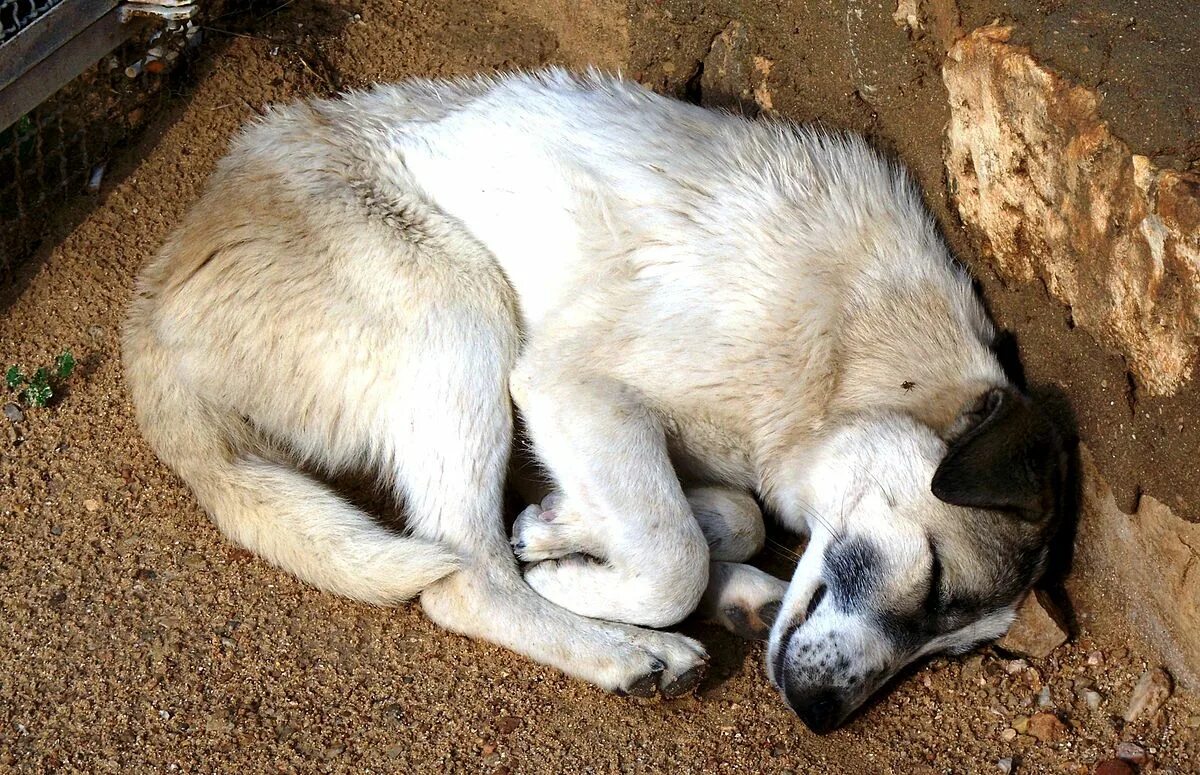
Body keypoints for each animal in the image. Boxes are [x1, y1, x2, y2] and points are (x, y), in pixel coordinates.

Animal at [124, 69, 1070, 734]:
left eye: (952, 649)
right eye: (937, 579)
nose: (821, 718)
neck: (856, 355)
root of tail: (154, 299)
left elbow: (723, 518)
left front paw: (563, 529)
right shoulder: (568, 384)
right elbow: (671, 555)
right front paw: (579, 574)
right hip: (461, 309)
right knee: (464, 577)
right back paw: (628, 651)